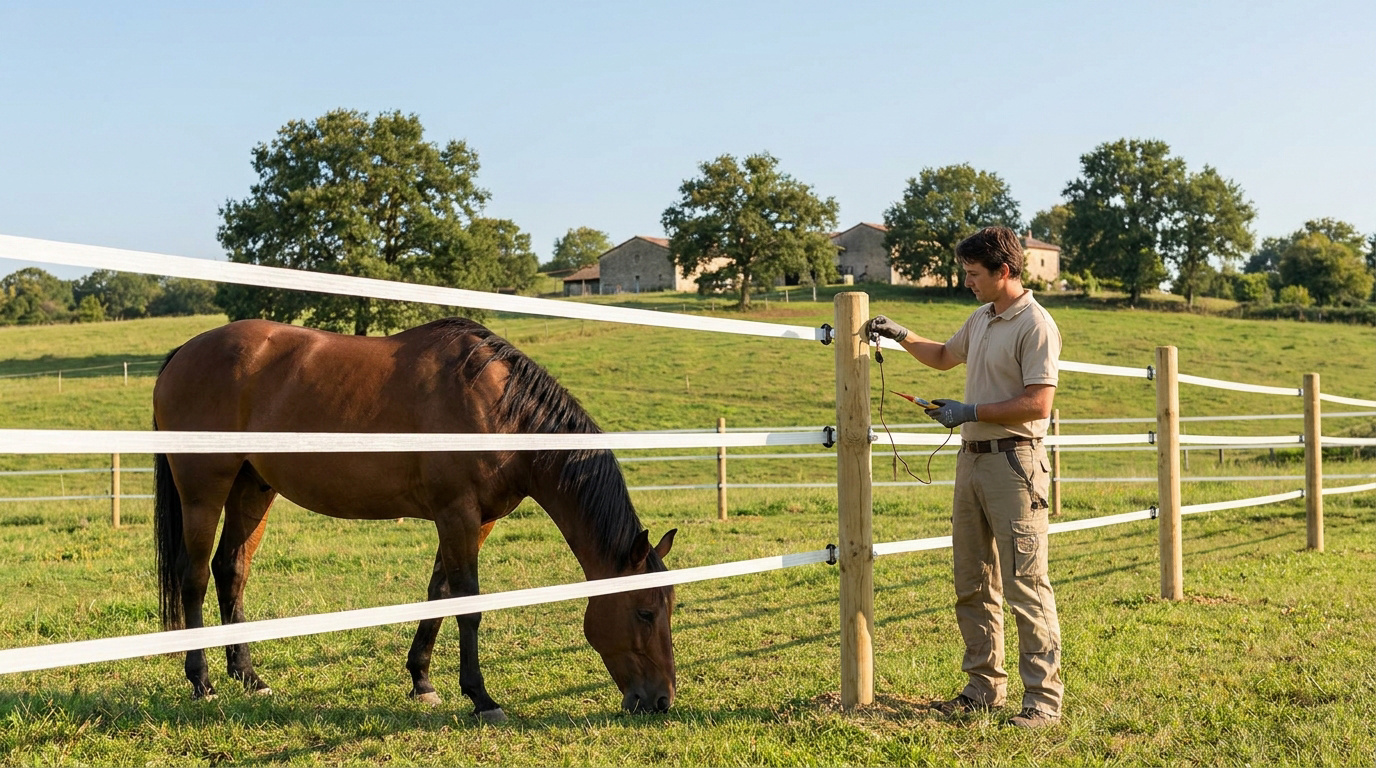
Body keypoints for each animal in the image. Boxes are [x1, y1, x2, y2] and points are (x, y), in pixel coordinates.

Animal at [152, 317, 677, 721]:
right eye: (645, 612)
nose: (661, 700)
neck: (496, 408)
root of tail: (183, 353)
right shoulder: (457, 513)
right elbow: (468, 604)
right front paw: (482, 698)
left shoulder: (475, 521)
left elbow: (438, 594)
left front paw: (422, 680)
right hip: (203, 490)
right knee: (194, 577)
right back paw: (201, 682)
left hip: (252, 487)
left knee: (231, 570)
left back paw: (248, 676)